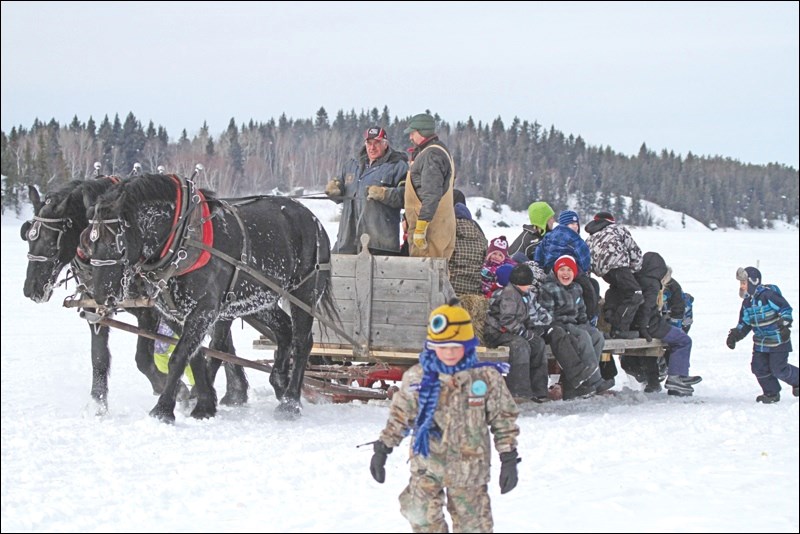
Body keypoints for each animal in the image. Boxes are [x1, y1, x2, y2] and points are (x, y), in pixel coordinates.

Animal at [21, 179, 247, 414]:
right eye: (28, 237)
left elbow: (144, 358)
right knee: (222, 344)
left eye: (51, 242)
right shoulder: (96, 309)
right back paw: (234, 392)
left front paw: (175, 389)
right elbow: (99, 357)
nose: (30, 289)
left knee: (220, 344)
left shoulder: (151, 312)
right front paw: (98, 403)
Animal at [86, 175, 336, 422]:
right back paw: (280, 383)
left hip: (304, 293)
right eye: (89, 243)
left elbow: (179, 356)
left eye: (113, 244)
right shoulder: (178, 313)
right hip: (257, 299)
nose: (99, 295)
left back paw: (291, 403)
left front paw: (163, 410)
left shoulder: (204, 309)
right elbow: (195, 355)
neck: (183, 238)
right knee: (284, 330)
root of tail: (314, 220)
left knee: (302, 341)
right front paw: (204, 403)